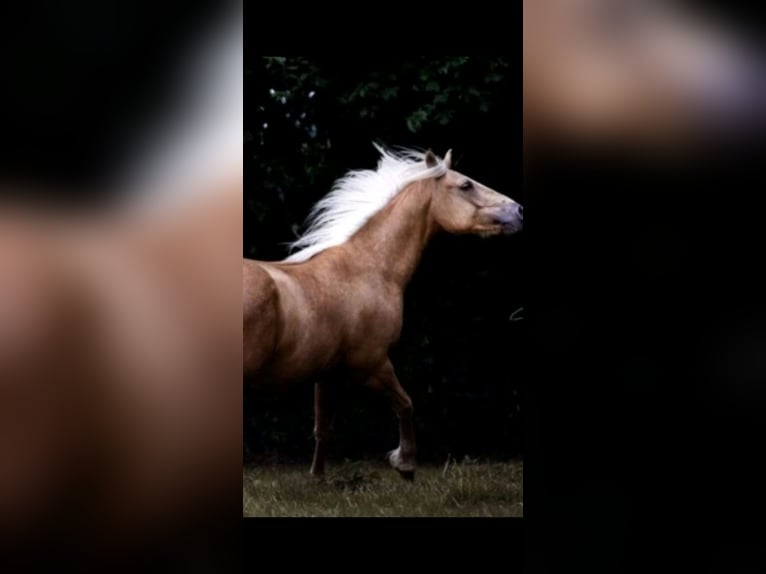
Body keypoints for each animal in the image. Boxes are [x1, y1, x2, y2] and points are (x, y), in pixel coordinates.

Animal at [244, 145, 523, 479]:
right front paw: (405, 464)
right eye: (465, 185)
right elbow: (405, 404)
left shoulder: (327, 374)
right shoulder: (372, 364)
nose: (518, 211)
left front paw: (318, 479)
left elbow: (323, 427)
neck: (368, 268)